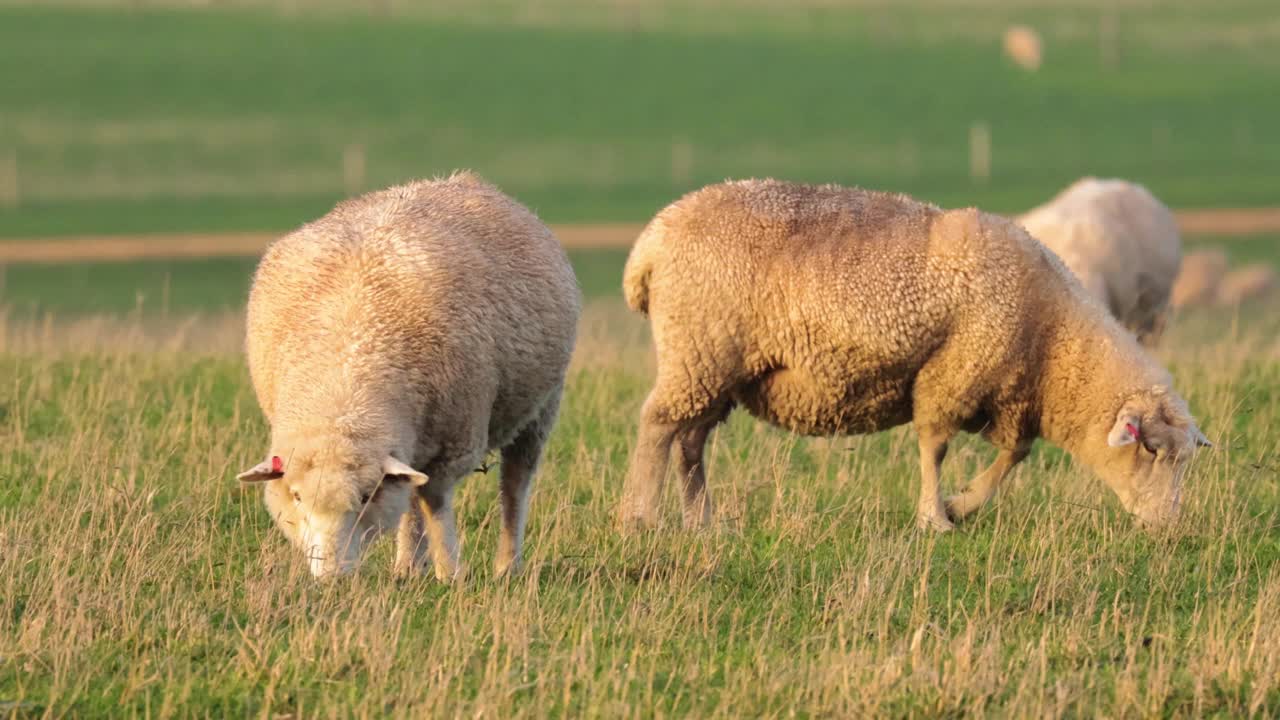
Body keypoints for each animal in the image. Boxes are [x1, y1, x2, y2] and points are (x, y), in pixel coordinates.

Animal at [235, 172, 581, 576]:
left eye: (366, 496)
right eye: (296, 496)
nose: (331, 575)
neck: (346, 380)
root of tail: (462, 179)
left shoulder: (453, 445)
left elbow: (435, 505)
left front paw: (450, 572)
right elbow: (412, 501)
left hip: (539, 410)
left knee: (514, 486)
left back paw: (507, 565)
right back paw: (408, 565)